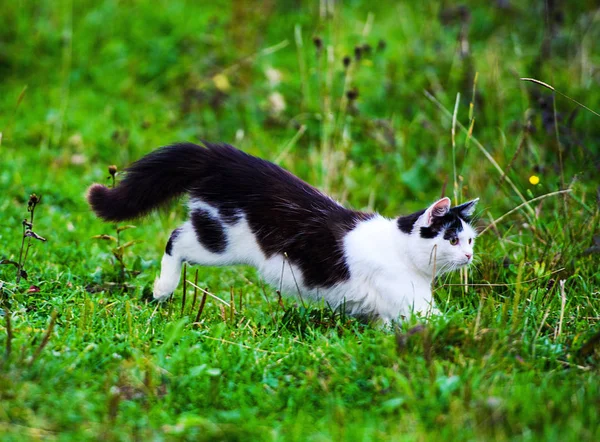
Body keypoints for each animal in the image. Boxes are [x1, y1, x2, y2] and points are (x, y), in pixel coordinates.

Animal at [86, 142, 478, 324]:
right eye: (452, 239)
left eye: (471, 239)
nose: (470, 255)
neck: (401, 248)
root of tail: (223, 159)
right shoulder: (410, 300)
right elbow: (438, 322)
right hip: (221, 239)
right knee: (175, 240)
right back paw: (162, 288)